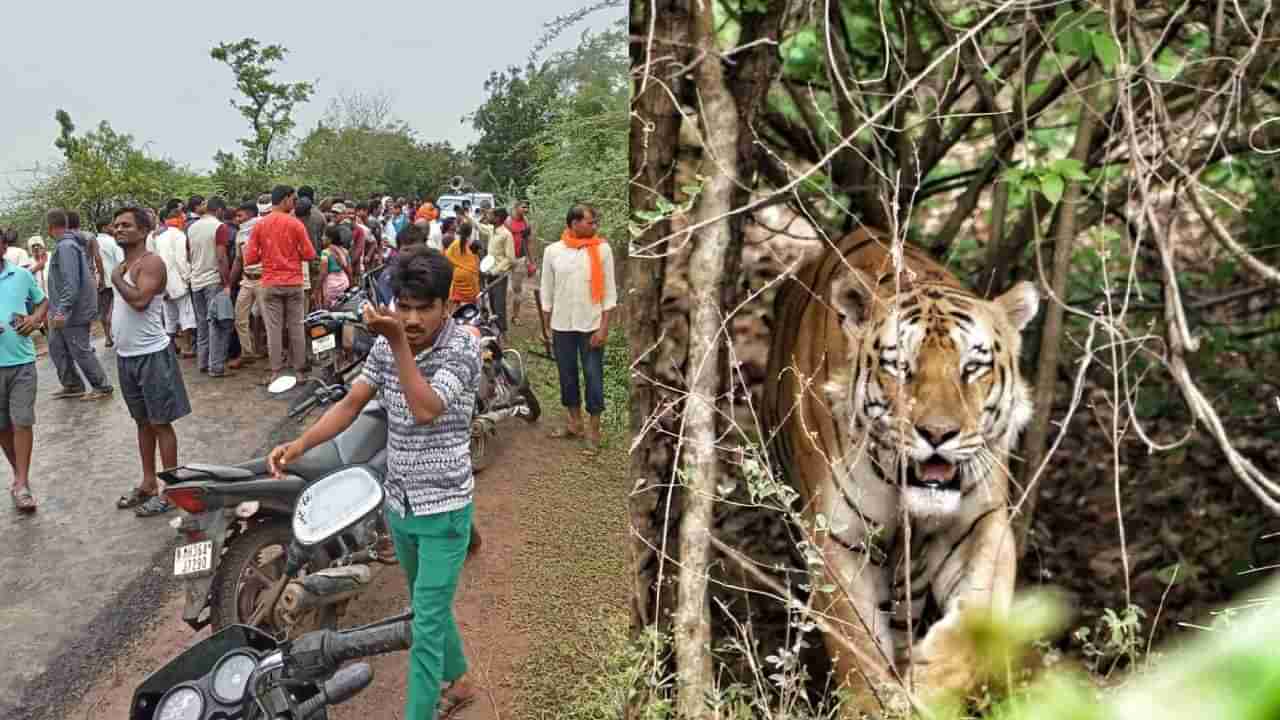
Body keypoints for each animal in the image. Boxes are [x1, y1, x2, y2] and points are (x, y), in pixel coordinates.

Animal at [757, 225, 1039, 712]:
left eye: (972, 367)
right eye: (901, 367)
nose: (938, 433)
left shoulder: (981, 525)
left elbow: (976, 617)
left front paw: (928, 686)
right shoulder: (837, 540)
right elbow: (858, 653)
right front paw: (880, 705)